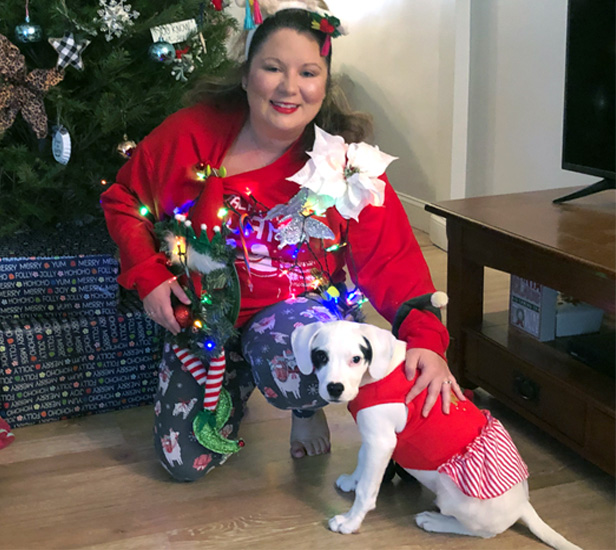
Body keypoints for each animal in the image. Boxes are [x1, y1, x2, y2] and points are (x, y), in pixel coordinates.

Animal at [292, 320, 584, 550]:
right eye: (321, 357)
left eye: (356, 359)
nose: (335, 388)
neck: (376, 374)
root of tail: (523, 504)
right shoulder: (373, 438)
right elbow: (363, 463)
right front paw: (352, 481)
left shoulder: (381, 441)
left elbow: (367, 490)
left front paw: (351, 521)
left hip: (450, 494)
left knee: (485, 533)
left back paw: (435, 521)